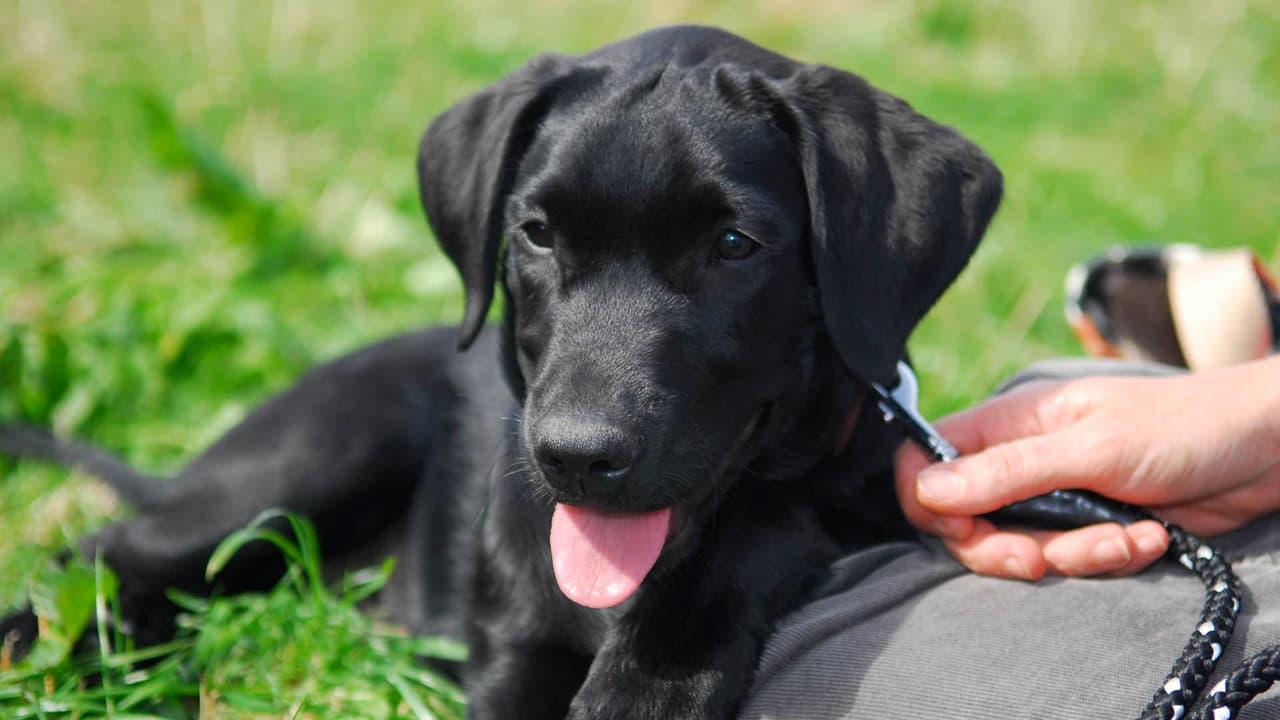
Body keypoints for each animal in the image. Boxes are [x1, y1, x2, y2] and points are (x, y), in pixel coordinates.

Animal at [0, 25, 998, 717]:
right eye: (538, 233)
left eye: (733, 244)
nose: (577, 456)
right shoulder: (512, 656)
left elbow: (765, 513)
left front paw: (652, 676)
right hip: (316, 454)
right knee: (110, 551)